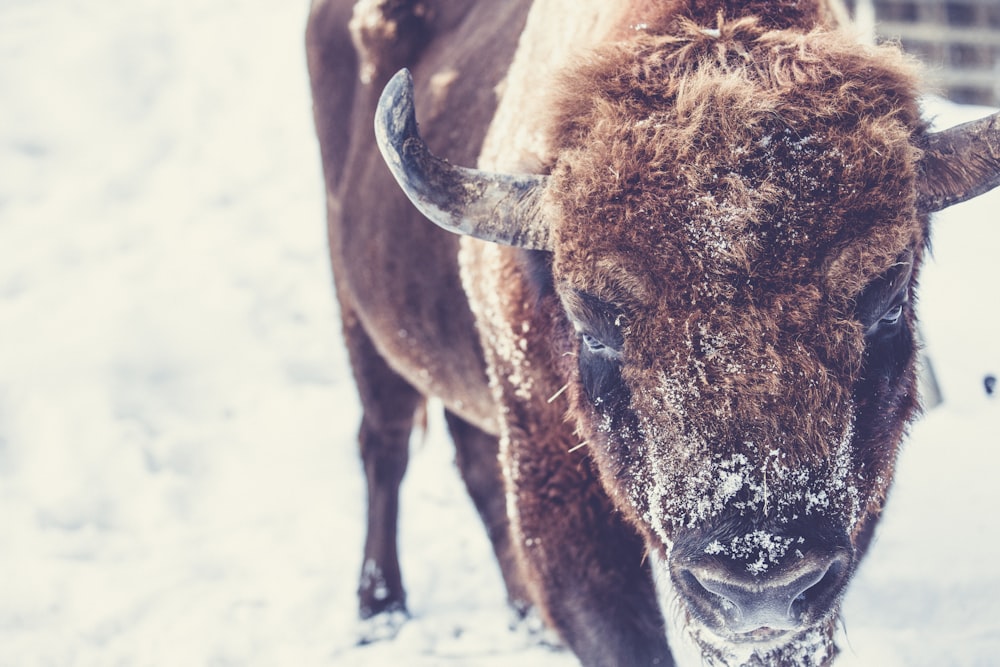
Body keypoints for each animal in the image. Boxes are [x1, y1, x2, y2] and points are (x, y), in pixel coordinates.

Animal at [304, 0, 1000, 664]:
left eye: (888, 299)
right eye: (590, 320)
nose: (759, 587)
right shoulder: (555, 483)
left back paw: (524, 620)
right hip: (361, 322)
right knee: (385, 447)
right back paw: (380, 610)